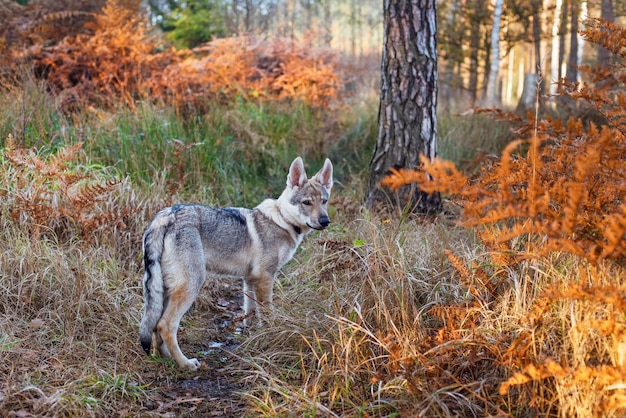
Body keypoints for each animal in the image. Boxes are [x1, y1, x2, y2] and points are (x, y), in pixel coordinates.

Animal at [137, 157, 332, 370]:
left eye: (324, 201)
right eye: (307, 202)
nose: (325, 220)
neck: (282, 220)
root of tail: (163, 218)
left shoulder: (250, 279)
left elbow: (250, 312)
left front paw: (254, 337)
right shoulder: (265, 277)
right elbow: (268, 312)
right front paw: (273, 332)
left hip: (165, 289)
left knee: (155, 325)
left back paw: (165, 359)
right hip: (191, 285)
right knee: (165, 325)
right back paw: (185, 364)